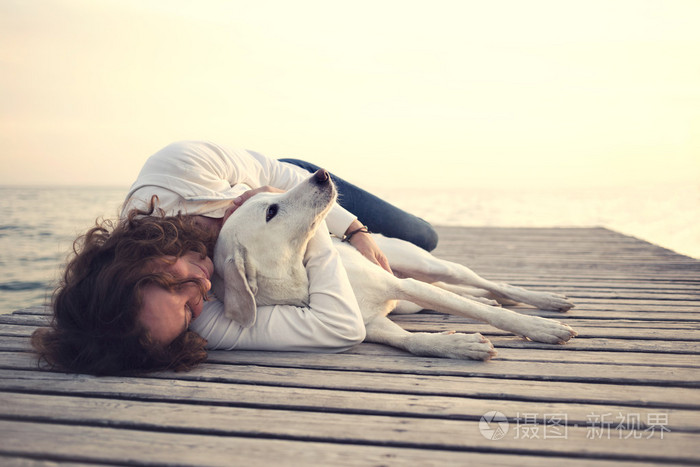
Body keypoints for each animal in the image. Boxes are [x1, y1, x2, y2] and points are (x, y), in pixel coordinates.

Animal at [212, 172, 576, 362]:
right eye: (271, 211)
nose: (321, 174)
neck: (305, 280)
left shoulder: (403, 286)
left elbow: (488, 315)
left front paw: (539, 328)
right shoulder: (371, 325)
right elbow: (412, 341)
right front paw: (457, 345)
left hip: (425, 267)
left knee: (481, 283)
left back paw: (543, 300)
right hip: (411, 300)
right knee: (459, 292)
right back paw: (487, 298)